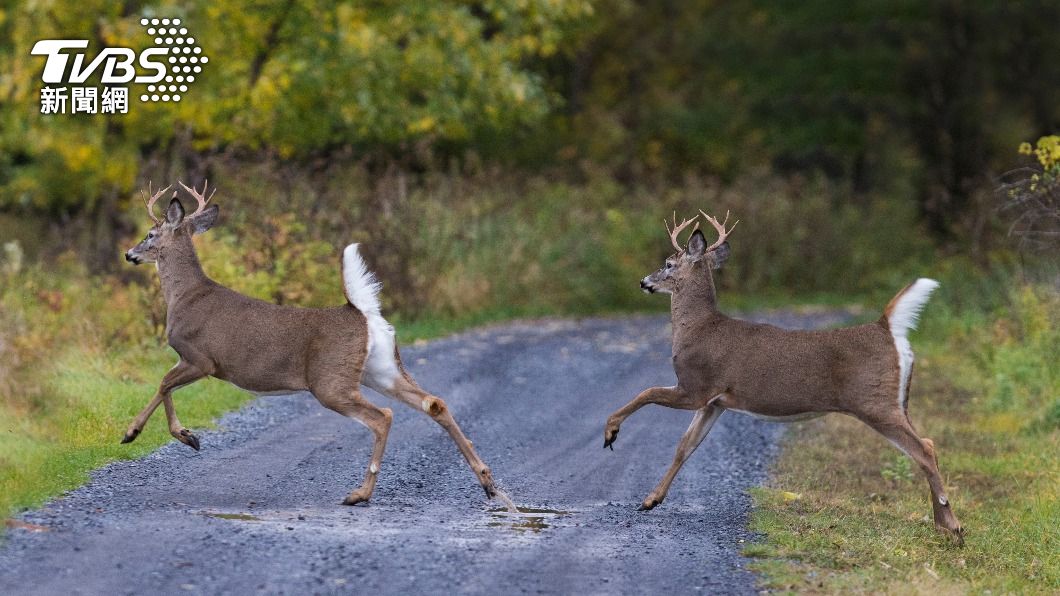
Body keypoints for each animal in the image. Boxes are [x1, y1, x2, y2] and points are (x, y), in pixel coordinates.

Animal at [121, 181, 516, 511]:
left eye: (150, 233)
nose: (129, 254)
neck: (184, 297)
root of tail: (362, 313)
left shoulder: (200, 357)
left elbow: (163, 384)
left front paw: (159, 434)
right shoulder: (193, 360)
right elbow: (164, 385)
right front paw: (163, 434)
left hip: (330, 381)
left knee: (383, 417)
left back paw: (360, 494)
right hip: (381, 368)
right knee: (434, 403)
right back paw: (491, 486)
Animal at [603, 211, 964, 543]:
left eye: (667, 264)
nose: (644, 281)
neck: (697, 329)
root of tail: (886, 327)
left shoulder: (696, 386)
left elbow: (647, 391)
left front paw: (611, 433)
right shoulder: (715, 402)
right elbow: (684, 446)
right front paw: (650, 500)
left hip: (874, 401)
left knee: (923, 450)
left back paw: (953, 525)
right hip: (898, 401)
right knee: (929, 444)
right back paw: (943, 524)